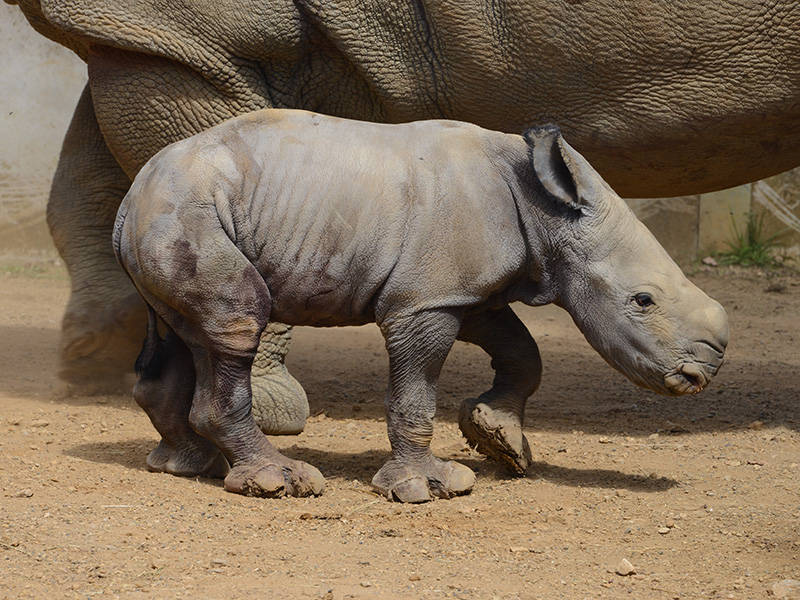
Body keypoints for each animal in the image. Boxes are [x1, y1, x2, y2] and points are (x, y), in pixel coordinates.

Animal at [113, 109, 728, 502]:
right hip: (186, 212)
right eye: (642, 301)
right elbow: (416, 391)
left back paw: (187, 465)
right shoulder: (424, 301)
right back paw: (280, 482)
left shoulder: (466, 292)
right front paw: (429, 489)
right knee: (240, 319)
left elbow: (524, 352)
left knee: (185, 334)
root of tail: (131, 195)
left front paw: (501, 443)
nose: (703, 373)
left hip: (176, 214)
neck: (550, 212)